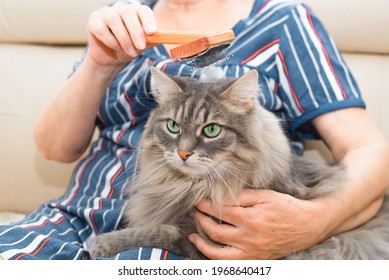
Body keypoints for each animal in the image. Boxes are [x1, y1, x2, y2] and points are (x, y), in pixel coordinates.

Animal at [86, 68, 388, 260]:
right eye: (173, 126)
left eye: (211, 130)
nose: (183, 153)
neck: (190, 186)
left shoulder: (198, 239)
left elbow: (151, 232)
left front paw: (99, 243)